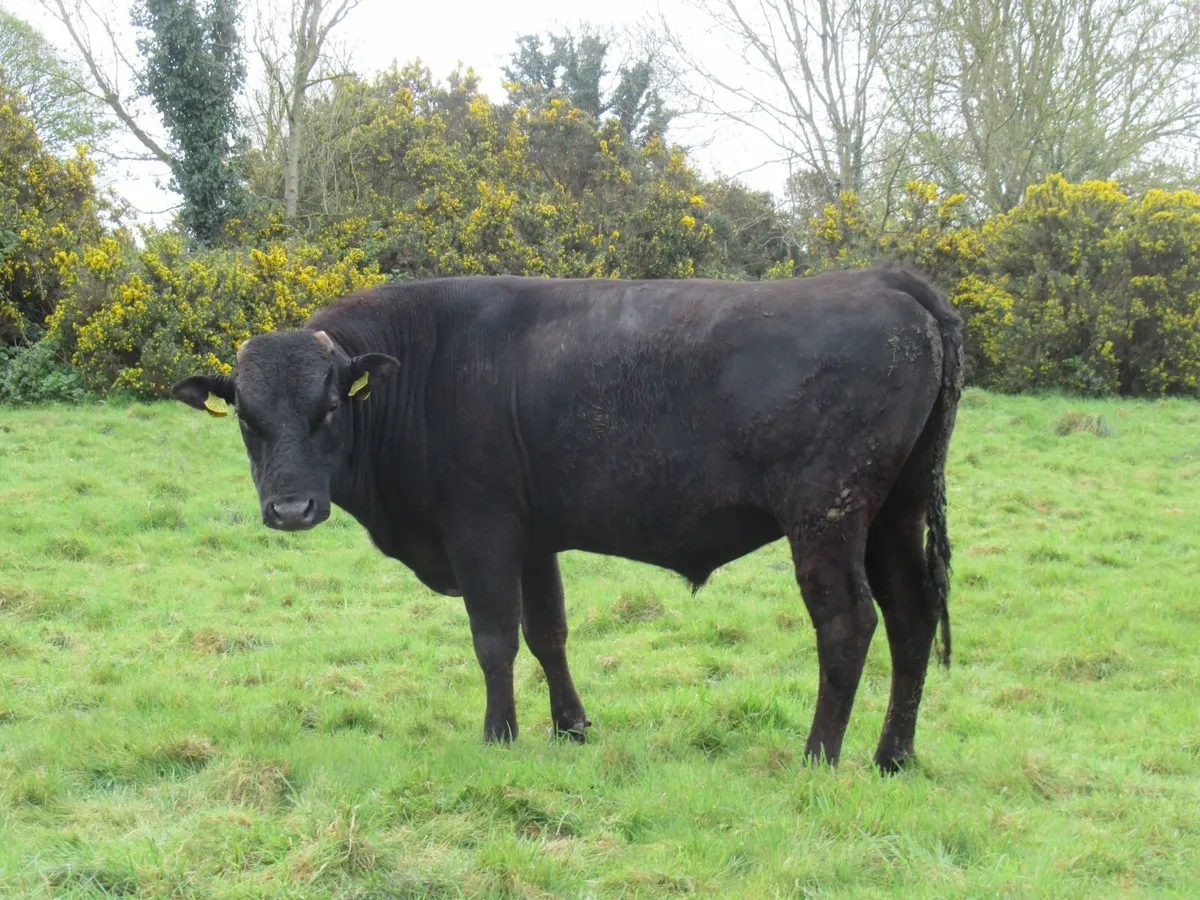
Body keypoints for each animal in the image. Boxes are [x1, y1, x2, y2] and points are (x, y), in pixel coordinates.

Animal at [172, 266, 963, 771]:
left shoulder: (482, 533)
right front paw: (570, 726)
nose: (290, 508)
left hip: (827, 518)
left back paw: (818, 755)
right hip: (894, 515)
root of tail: (881, 278)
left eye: (330, 406)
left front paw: (500, 735)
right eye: (245, 416)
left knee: (848, 623)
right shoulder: (533, 539)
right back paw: (893, 756)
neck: (426, 367)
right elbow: (546, 632)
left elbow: (494, 638)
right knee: (912, 617)